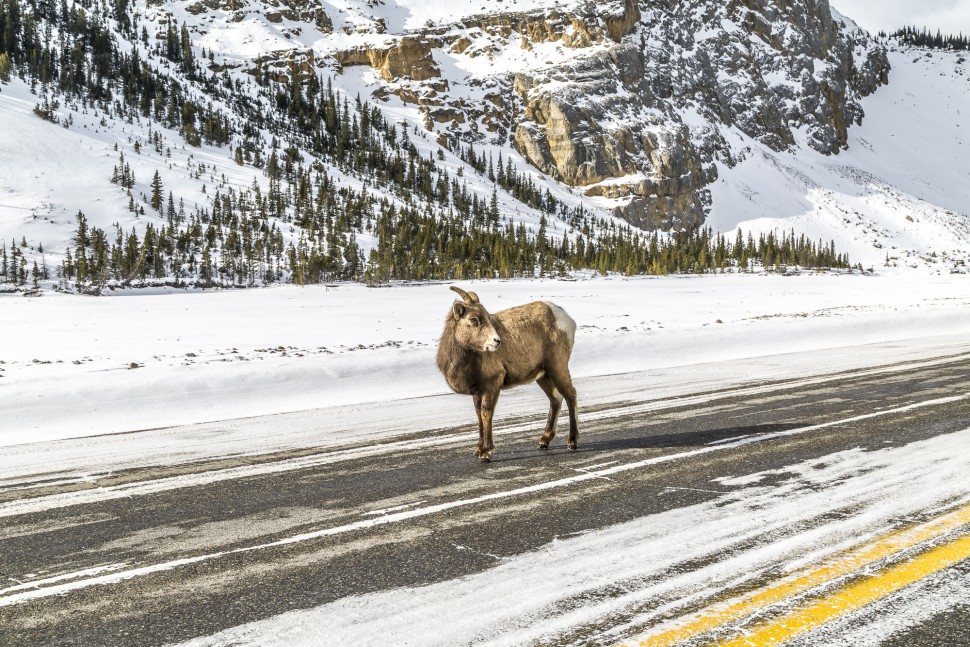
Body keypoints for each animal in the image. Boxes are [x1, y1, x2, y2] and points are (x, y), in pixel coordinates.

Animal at [434, 286, 580, 464]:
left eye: (487, 317)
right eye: (473, 319)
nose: (497, 341)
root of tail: (565, 318)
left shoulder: (491, 386)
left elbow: (486, 414)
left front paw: (486, 453)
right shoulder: (477, 391)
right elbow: (478, 415)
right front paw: (478, 449)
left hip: (557, 368)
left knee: (570, 395)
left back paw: (572, 442)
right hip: (543, 376)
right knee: (556, 399)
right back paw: (544, 441)